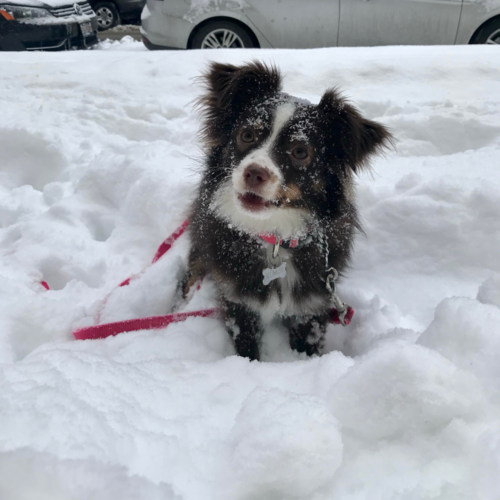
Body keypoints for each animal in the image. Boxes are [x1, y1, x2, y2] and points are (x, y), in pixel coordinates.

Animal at [182, 61, 392, 360]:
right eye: (247, 134)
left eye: (300, 151)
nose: (253, 173)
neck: (275, 239)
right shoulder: (236, 298)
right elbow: (246, 345)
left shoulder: (314, 302)